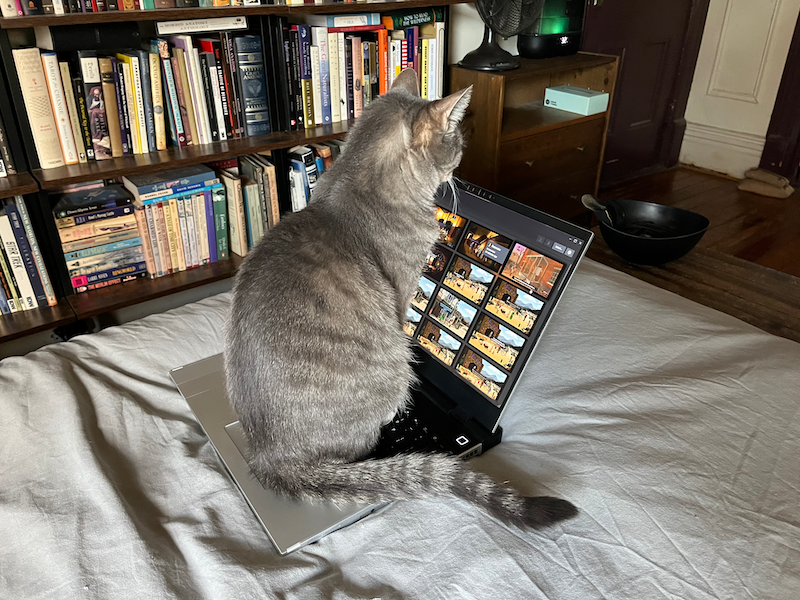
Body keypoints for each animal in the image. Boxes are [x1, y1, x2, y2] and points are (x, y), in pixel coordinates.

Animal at [224, 69, 578, 529]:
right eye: (456, 141)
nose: (461, 162)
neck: (358, 188)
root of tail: (267, 461)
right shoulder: (404, 290)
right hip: (392, 371)